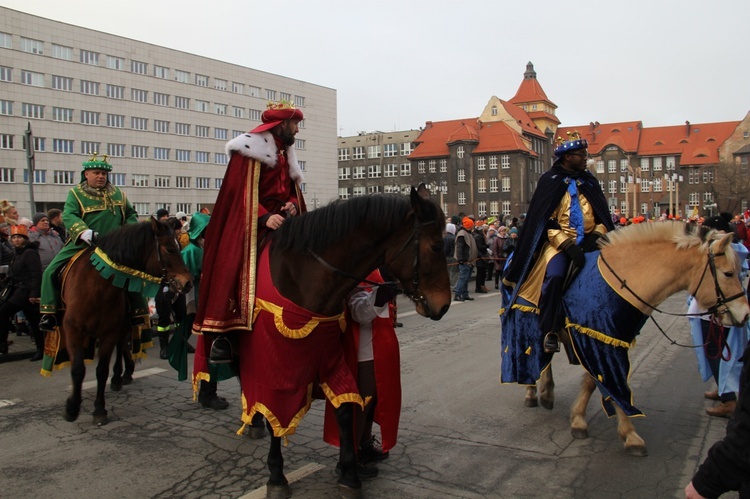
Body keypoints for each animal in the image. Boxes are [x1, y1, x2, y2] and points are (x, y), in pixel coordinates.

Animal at [59, 221, 192, 428]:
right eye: (170, 248)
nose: (188, 283)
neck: (97, 287)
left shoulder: (109, 332)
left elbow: (101, 371)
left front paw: (99, 409)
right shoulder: (73, 331)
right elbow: (78, 369)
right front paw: (72, 408)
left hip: (123, 324)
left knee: (121, 345)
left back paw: (121, 375)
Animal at [241, 186, 452, 498]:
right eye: (437, 246)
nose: (444, 305)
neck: (301, 277)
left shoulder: (332, 359)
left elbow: (344, 410)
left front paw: (350, 474)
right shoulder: (273, 371)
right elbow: (275, 416)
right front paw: (277, 476)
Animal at [500, 223, 750, 458]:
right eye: (728, 273)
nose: (745, 314)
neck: (625, 278)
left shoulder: (611, 339)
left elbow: (594, 381)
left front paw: (579, 418)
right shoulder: (598, 339)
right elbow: (611, 383)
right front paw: (630, 435)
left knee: (546, 357)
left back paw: (547, 393)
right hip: (524, 319)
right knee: (528, 354)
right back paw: (532, 392)